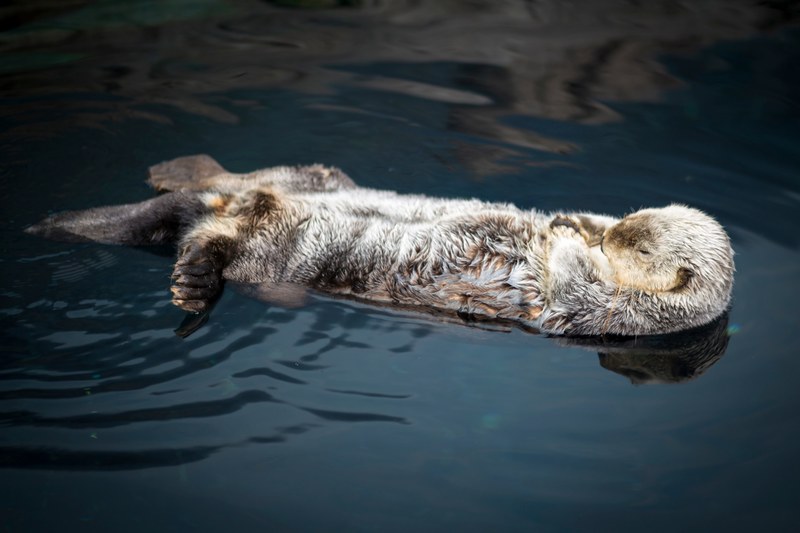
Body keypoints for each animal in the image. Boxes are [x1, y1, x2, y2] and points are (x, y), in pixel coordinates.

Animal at [26, 155, 734, 336]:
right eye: (633, 222)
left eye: (643, 252)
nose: (611, 235)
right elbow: (574, 229)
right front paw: (569, 222)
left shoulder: (604, 315)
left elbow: (567, 285)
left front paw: (565, 240)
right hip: (303, 178)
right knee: (215, 189)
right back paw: (176, 173)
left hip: (274, 252)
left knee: (209, 240)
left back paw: (192, 286)